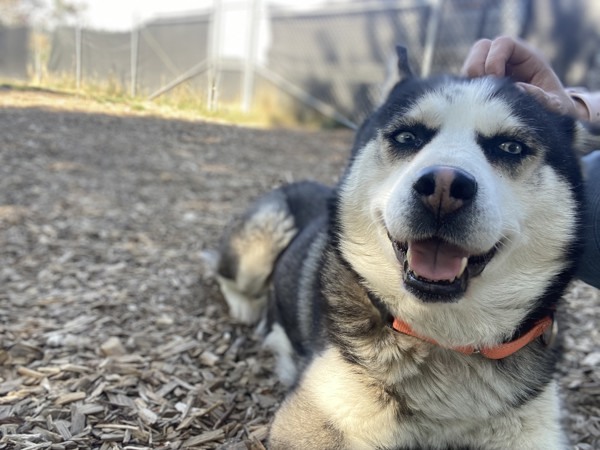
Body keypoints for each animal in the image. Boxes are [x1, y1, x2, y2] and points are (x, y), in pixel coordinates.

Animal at [216, 47, 596, 448]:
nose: (443, 187)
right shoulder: (315, 415)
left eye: (510, 146)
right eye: (407, 136)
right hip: (265, 232)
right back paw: (248, 307)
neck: (444, 336)